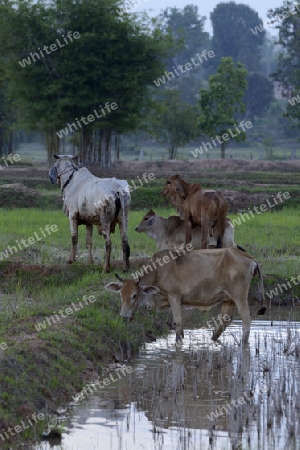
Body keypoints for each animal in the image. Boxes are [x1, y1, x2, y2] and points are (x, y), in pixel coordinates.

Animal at [106, 246, 268, 344]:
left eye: (134, 295)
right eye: (121, 294)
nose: (124, 316)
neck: (158, 271)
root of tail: (247, 256)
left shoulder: (174, 296)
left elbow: (178, 322)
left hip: (239, 297)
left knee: (246, 319)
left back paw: (243, 343)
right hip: (228, 298)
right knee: (225, 320)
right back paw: (213, 339)